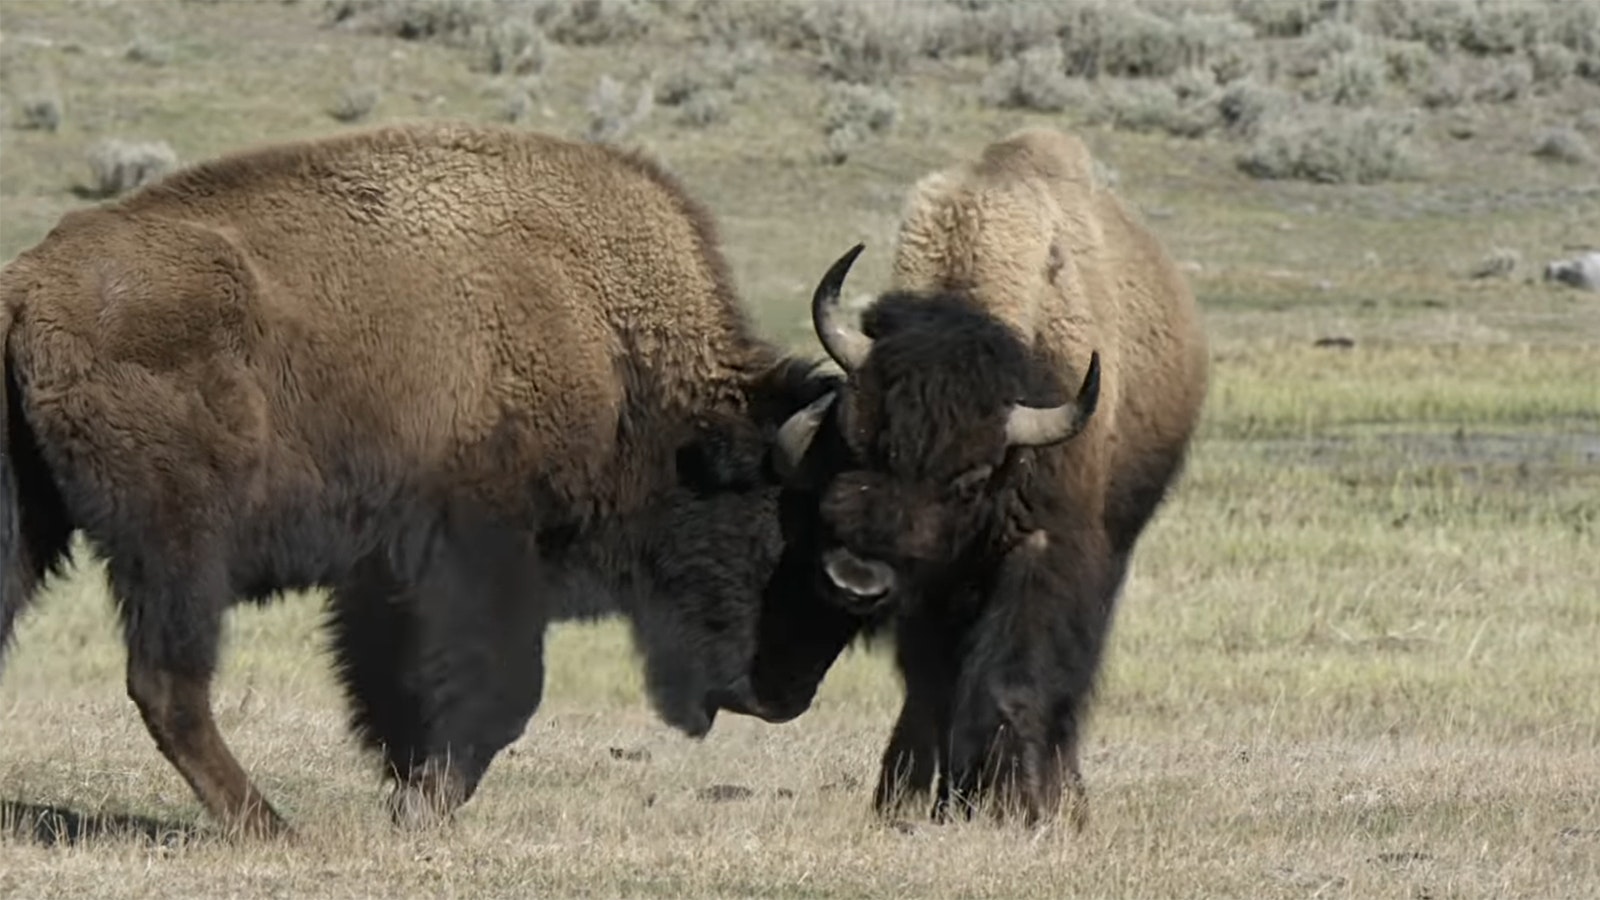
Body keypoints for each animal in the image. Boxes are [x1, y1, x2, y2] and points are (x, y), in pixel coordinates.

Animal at [0, 122, 831, 838]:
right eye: (768, 529)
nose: (782, 695)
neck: (603, 330)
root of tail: (26, 287)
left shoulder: (387, 575)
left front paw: (408, 791)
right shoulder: (481, 553)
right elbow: (500, 692)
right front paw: (423, 806)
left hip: (36, 524)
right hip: (178, 541)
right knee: (169, 682)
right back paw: (272, 828)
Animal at [749, 127, 1210, 827]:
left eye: (968, 479)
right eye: (854, 440)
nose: (855, 579)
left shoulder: (1040, 553)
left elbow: (1012, 680)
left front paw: (1015, 803)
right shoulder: (928, 587)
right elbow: (931, 683)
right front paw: (910, 797)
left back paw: (1060, 796)